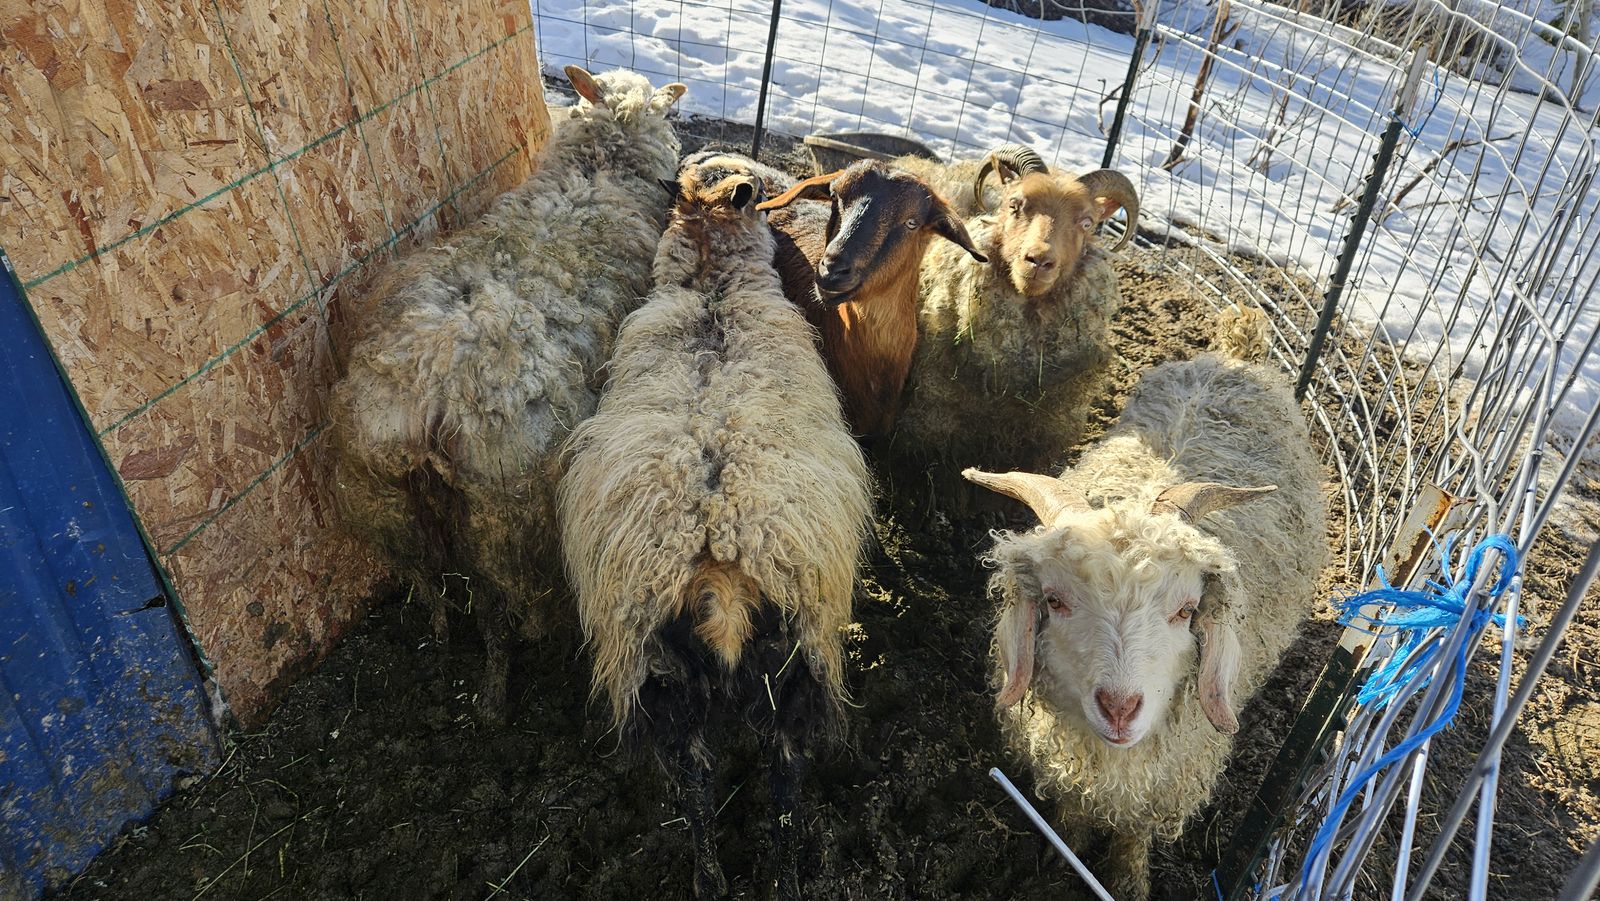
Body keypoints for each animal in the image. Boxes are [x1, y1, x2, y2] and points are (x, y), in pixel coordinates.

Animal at [329, 67, 684, 723]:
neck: (599, 170)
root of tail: (433, 390)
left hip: (382, 496)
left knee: (431, 583)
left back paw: (440, 651)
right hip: (504, 516)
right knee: (495, 604)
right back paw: (496, 692)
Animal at [557, 155, 872, 900]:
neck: (712, 287)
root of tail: (719, 562)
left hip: (667, 670)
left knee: (697, 784)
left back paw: (712, 879)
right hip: (787, 661)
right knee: (777, 778)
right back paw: (775, 877)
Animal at [965, 307, 1327, 900]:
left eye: (1186, 609)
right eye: (1056, 601)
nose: (1119, 708)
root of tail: (1233, 352)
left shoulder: (1168, 777)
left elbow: (1135, 833)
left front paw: (1129, 878)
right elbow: (1072, 811)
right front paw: (1061, 851)